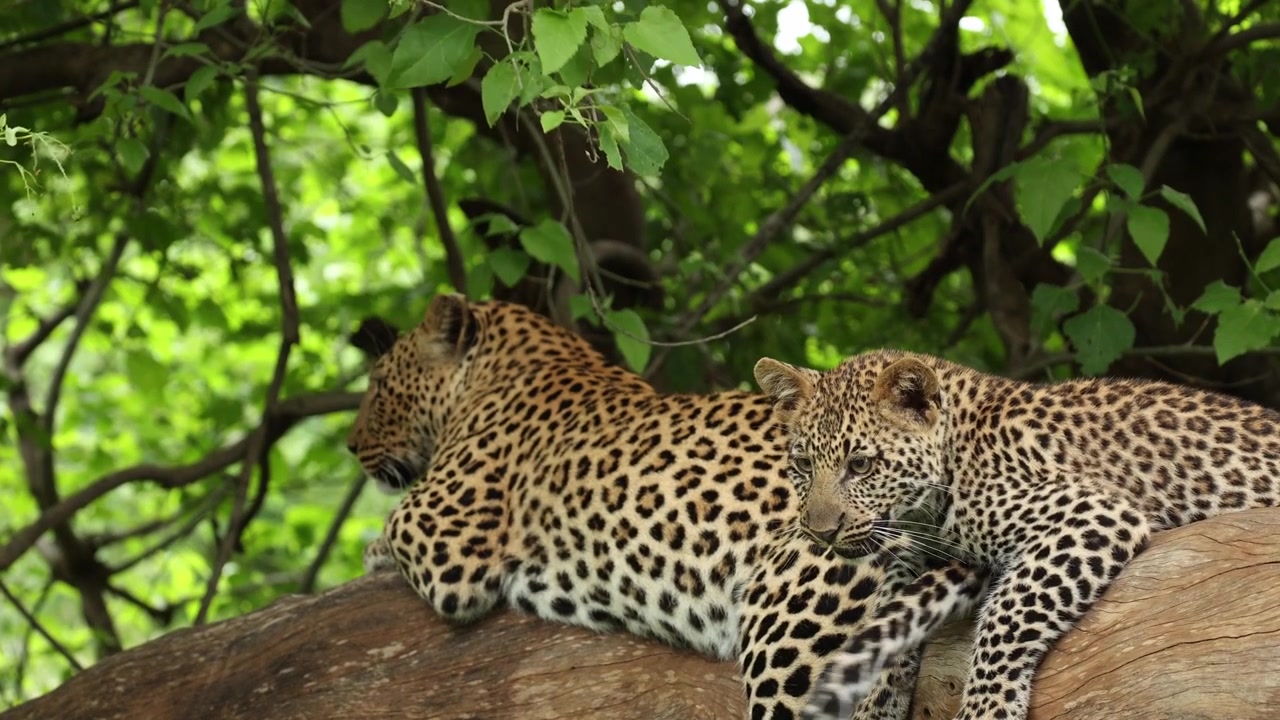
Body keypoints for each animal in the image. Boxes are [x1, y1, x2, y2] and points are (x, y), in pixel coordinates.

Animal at [347, 293, 936, 720]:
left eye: (378, 386)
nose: (352, 447)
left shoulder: (444, 537)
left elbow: (390, 524)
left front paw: (372, 553)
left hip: (792, 630)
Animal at [753, 349, 1280, 720]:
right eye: (803, 465)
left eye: (861, 465)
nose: (821, 532)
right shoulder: (913, 560)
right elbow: (887, 615)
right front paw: (876, 703)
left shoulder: (1093, 511)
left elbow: (1006, 617)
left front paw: (985, 709)